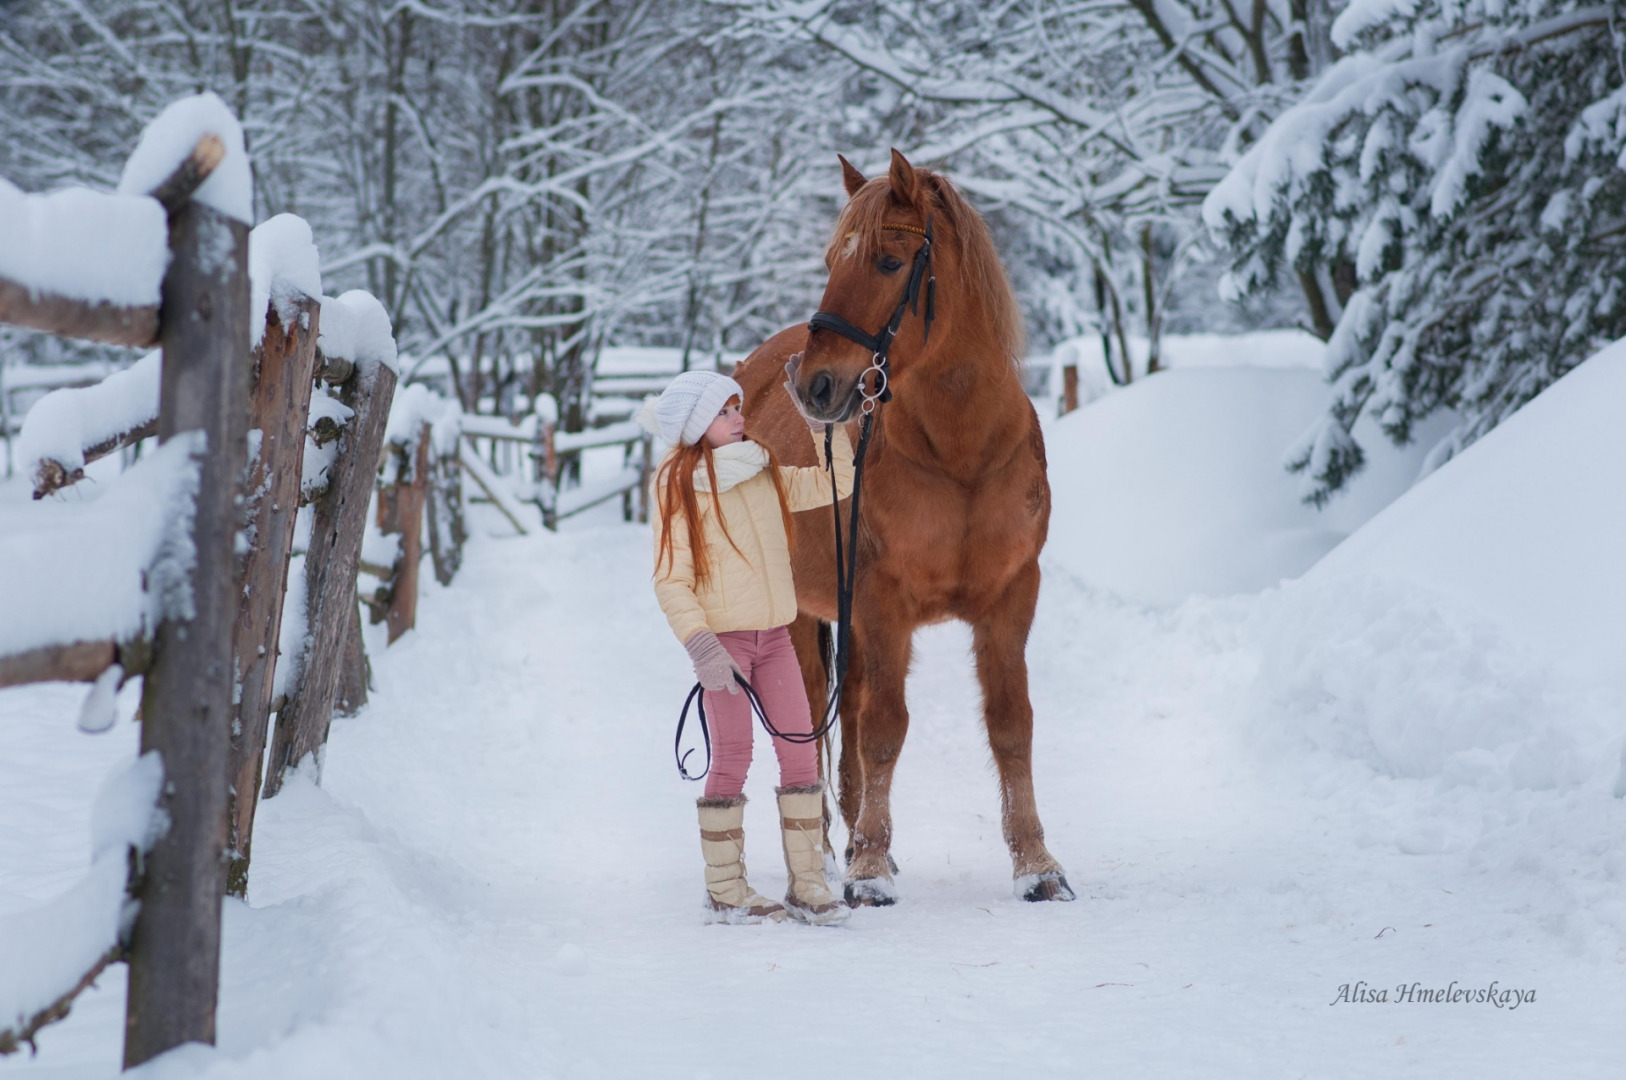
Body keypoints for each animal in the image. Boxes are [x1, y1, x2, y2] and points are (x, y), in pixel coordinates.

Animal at [731, 149, 1073, 904]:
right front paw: (866, 870)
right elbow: (886, 729)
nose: (815, 386)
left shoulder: (1011, 599)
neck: (960, 454)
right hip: (800, 617)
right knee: (814, 721)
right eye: (833, 258)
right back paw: (829, 854)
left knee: (852, 710)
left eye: (889, 262)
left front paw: (1036, 864)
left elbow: (1012, 725)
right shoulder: (883, 603)